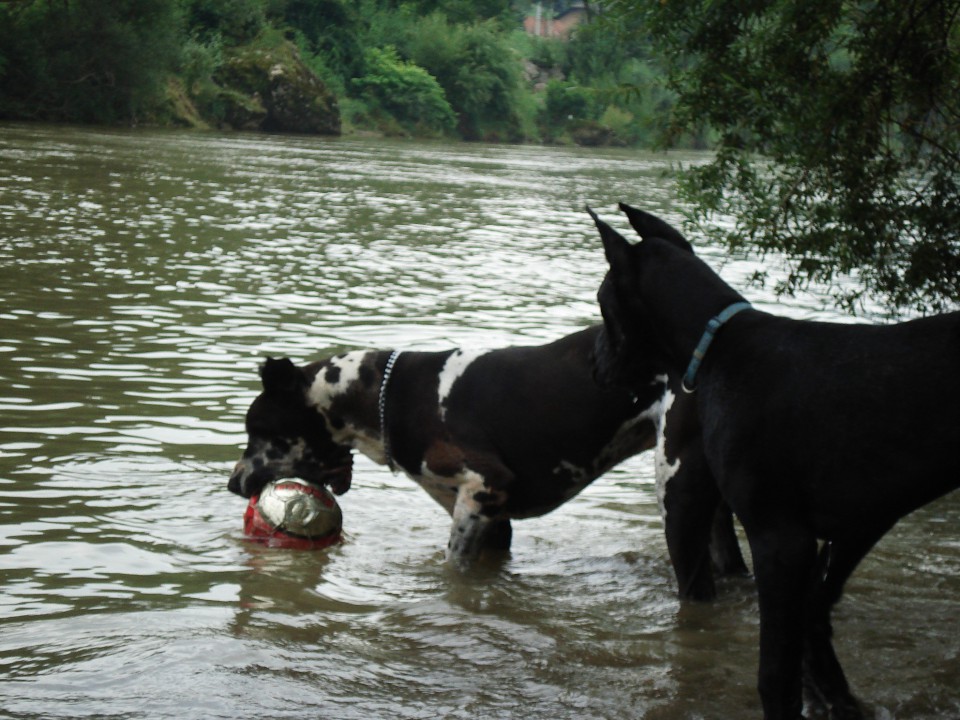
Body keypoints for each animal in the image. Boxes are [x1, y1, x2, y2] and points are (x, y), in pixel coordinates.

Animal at [229, 326, 748, 596]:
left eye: (258, 432)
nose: (234, 483)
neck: (388, 399)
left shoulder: (484, 491)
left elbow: (452, 566)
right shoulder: (495, 523)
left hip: (679, 507)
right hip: (714, 517)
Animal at [592, 204, 960, 720]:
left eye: (602, 300)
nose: (594, 364)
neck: (719, 346)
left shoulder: (780, 539)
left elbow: (775, 672)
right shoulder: (857, 524)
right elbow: (814, 621)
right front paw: (835, 697)